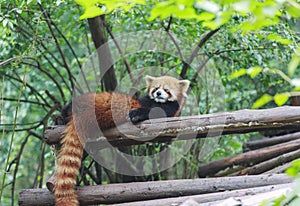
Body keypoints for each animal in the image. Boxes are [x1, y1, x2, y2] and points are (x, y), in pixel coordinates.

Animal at [54, 75, 190, 205]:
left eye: (166, 89)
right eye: (155, 88)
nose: (158, 93)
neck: (157, 102)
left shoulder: (169, 109)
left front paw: (136, 114)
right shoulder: (144, 100)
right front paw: (136, 113)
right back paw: (61, 117)